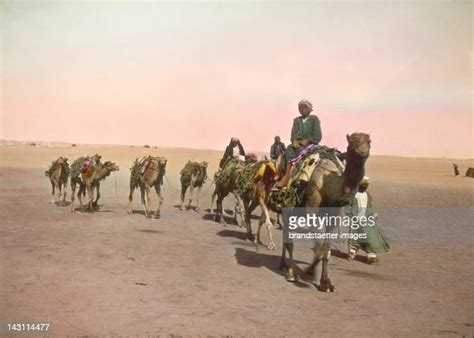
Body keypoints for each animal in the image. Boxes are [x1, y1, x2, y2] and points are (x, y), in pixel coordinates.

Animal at [278, 133, 370, 292]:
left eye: (369, 141)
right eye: (352, 142)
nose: (363, 151)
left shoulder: (334, 216)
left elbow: (326, 248)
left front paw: (325, 283)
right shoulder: (312, 207)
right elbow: (319, 244)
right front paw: (309, 272)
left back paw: (285, 266)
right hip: (287, 207)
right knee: (289, 240)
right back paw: (290, 272)